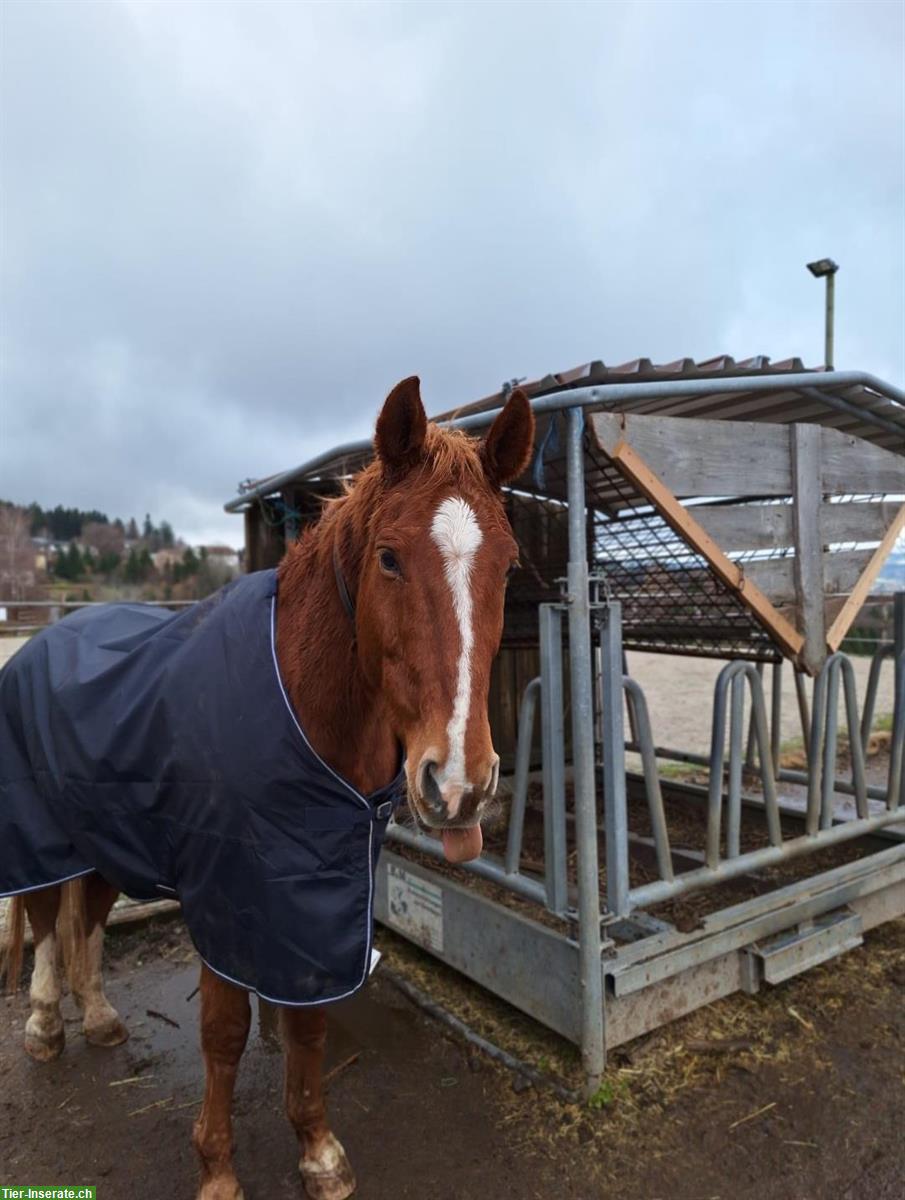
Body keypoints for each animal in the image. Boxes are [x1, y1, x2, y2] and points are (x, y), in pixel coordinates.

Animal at [0, 376, 532, 1200]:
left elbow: (307, 1026)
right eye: (388, 558)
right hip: (42, 834)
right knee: (43, 914)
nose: (461, 785)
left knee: (84, 915)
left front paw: (318, 1151)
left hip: (106, 832)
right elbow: (223, 1035)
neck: (300, 713)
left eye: (506, 567)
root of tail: (38, 641)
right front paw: (217, 1169)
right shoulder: (230, 901)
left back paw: (98, 1017)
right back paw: (45, 1026)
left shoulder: (313, 903)